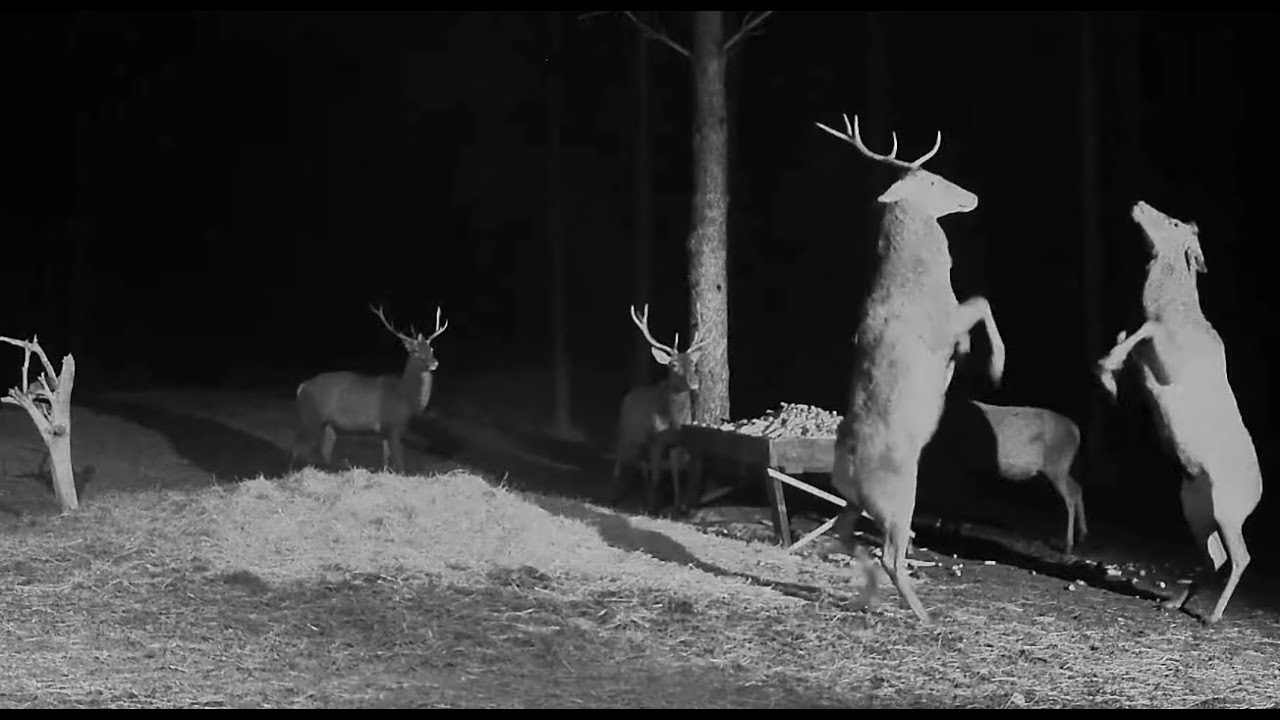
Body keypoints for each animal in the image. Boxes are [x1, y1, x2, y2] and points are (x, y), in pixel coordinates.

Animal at [291, 304, 448, 475]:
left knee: (324, 450)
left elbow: (386, 460)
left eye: (431, 348)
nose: (434, 363)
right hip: (311, 417)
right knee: (300, 448)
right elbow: (399, 462)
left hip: (328, 424)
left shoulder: (385, 432)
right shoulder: (394, 425)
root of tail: (301, 387)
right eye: (415, 351)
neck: (405, 397)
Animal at [609, 304, 710, 514]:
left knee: (642, 464)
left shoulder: (677, 441)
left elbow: (675, 472)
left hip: (641, 442)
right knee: (620, 461)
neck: (673, 419)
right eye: (673, 364)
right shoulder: (656, 440)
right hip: (624, 433)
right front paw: (653, 507)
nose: (694, 382)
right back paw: (615, 495)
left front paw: (678, 505)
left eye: (693, 363)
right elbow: (657, 474)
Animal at [817, 113, 1005, 624]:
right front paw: (996, 366)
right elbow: (982, 301)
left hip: (854, 498)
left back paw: (867, 597)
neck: (916, 271)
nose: (973, 195)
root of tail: (847, 464)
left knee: (844, 535)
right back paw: (923, 614)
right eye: (935, 180)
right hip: (900, 494)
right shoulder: (947, 320)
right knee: (889, 554)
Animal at [1095, 200, 1262, 624]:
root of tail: (1258, 495)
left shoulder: (1165, 352)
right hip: (1197, 512)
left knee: (1240, 558)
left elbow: (1139, 333)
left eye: (1173, 223)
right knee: (1215, 558)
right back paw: (1173, 602)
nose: (1138, 204)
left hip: (1227, 511)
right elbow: (1128, 338)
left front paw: (1106, 371)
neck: (1175, 306)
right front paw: (1110, 380)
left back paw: (1212, 617)